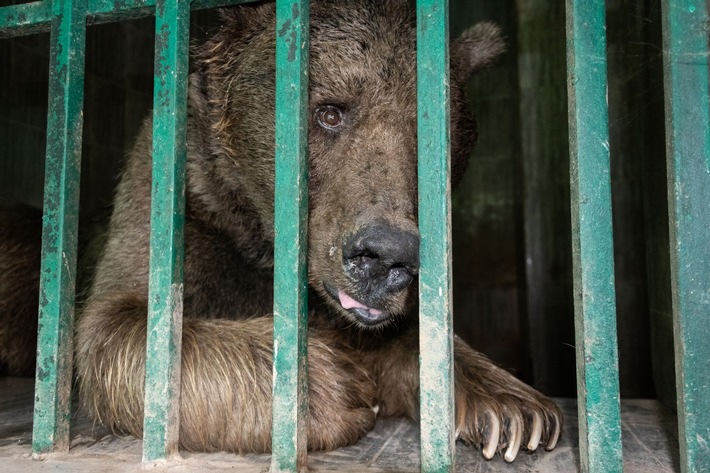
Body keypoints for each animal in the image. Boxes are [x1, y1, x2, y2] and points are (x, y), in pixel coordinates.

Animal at [1, 0, 560, 462]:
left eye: (432, 140)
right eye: (330, 111)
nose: (384, 257)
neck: (260, 232)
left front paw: (512, 409)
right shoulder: (175, 198)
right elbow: (119, 329)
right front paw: (331, 385)